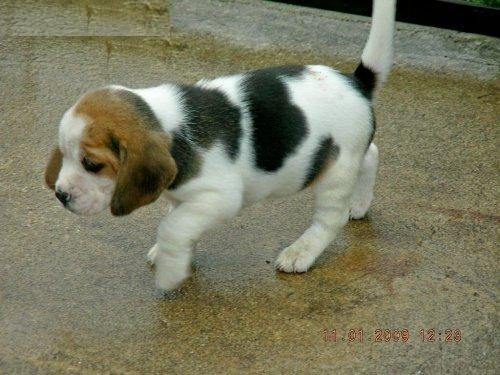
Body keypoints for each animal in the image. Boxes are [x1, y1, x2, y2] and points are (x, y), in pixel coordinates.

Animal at [45, 0, 396, 292]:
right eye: (64, 155)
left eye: (92, 165)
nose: (60, 195)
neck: (165, 123)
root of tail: (357, 83)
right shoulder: (187, 198)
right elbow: (180, 219)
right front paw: (175, 254)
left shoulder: (220, 197)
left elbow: (173, 226)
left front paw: (171, 270)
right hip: (345, 155)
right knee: (372, 154)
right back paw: (360, 203)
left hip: (336, 174)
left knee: (329, 220)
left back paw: (301, 251)